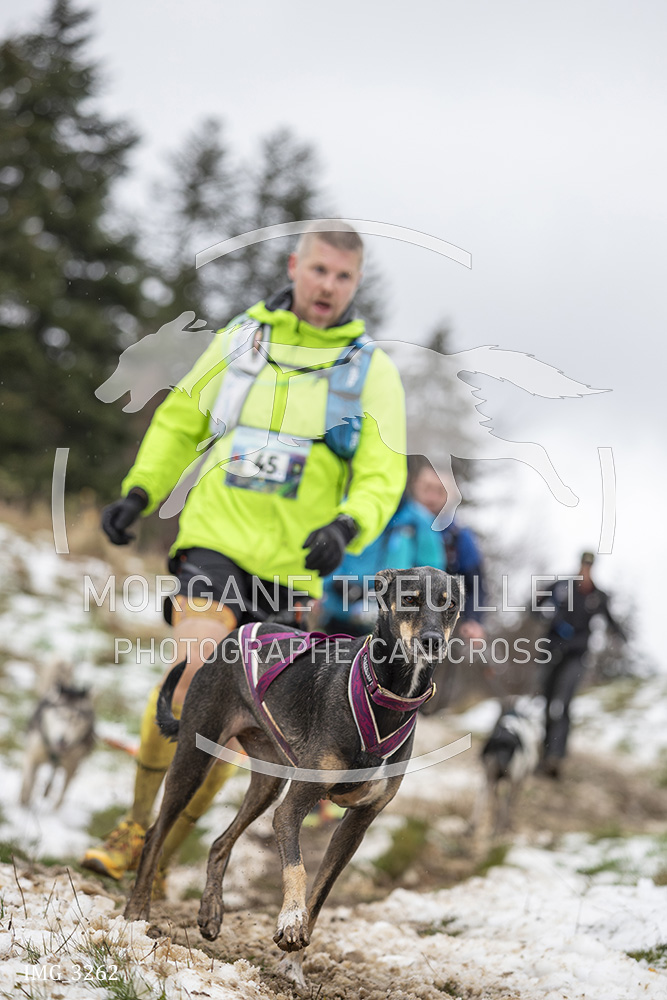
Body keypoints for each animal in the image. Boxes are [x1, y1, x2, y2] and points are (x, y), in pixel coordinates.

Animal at [20, 659, 96, 809]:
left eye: (76, 719)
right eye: (58, 714)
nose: (62, 740)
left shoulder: (72, 766)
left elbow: (62, 795)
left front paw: (54, 810)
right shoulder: (31, 756)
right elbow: (28, 784)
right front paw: (24, 804)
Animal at [124, 567, 461, 985]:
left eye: (449, 604)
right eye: (411, 599)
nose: (432, 642)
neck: (385, 694)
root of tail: (235, 634)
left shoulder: (358, 824)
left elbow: (321, 894)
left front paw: (292, 965)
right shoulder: (292, 808)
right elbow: (297, 869)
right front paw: (289, 922)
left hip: (267, 783)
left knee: (220, 842)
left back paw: (211, 912)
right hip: (194, 758)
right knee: (157, 833)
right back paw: (137, 912)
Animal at [471, 696, 543, 837]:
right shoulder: (516, 777)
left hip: (494, 777)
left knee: (490, 798)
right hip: (509, 777)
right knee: (505, 799)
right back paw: (501, 825)